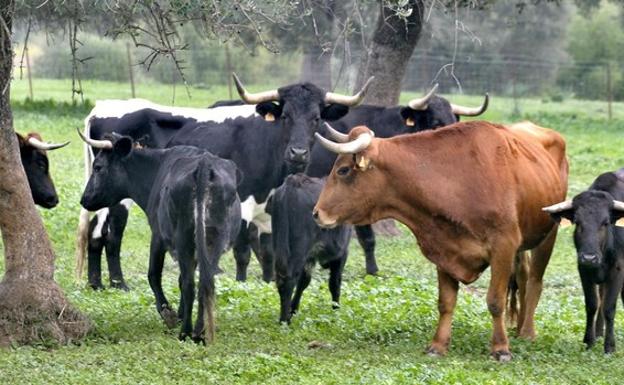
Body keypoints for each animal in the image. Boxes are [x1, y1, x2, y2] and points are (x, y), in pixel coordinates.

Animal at [80, 134, 241, 344]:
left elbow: (154, 275)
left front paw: (169, 314)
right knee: (205, 281)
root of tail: (204, 165)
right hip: (214, 240)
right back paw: (200, 332)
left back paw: (185, 332)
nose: (84, 199)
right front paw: (180, 314)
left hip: (183, 238)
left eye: (98, 167)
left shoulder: (157, 235)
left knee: (189, 283)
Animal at [270, 172, 354, 322]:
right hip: (298, 250)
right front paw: (336, 311)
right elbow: (335, 282)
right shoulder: (342, 252)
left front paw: (294, 309)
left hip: (279, 246)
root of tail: (293, 181)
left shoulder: (310, 257)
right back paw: (284, 320)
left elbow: (304, 282)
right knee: (288, 279)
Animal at [314, 121, 568, 360]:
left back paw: (527, 331)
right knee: (523, 276)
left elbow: (495, 301)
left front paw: (500, 348)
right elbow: (446, 302)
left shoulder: (503, 246)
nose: (317, 213)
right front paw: (438, 345)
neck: (457, 181)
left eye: (343, 170)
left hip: (548, 234)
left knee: (534, 281)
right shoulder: (445, 247)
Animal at [540, 170, 624, 352]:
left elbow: (609, 307)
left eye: (605, 222)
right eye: (577, 222)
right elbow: (592, 304)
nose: (589, 257)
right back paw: (599, 333)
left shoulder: (618, 270)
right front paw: (589, 341)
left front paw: (610, 346)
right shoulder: (583, 269)